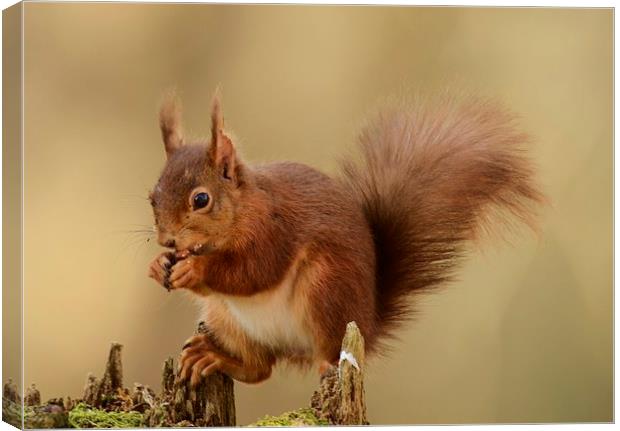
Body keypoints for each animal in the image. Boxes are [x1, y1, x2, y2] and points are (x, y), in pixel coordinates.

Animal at [145, 89, 544, 386]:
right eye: (152, 197)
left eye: (201, 200)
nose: (167, 241)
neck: (243, 209)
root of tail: (368, 324)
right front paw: (158, 265)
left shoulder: (275, 231)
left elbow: (253, 272)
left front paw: (195, 270)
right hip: (225, 318)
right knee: (260, 369)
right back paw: (210, 356)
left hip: (327, 290)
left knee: (321, 352)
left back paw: (325, 364)